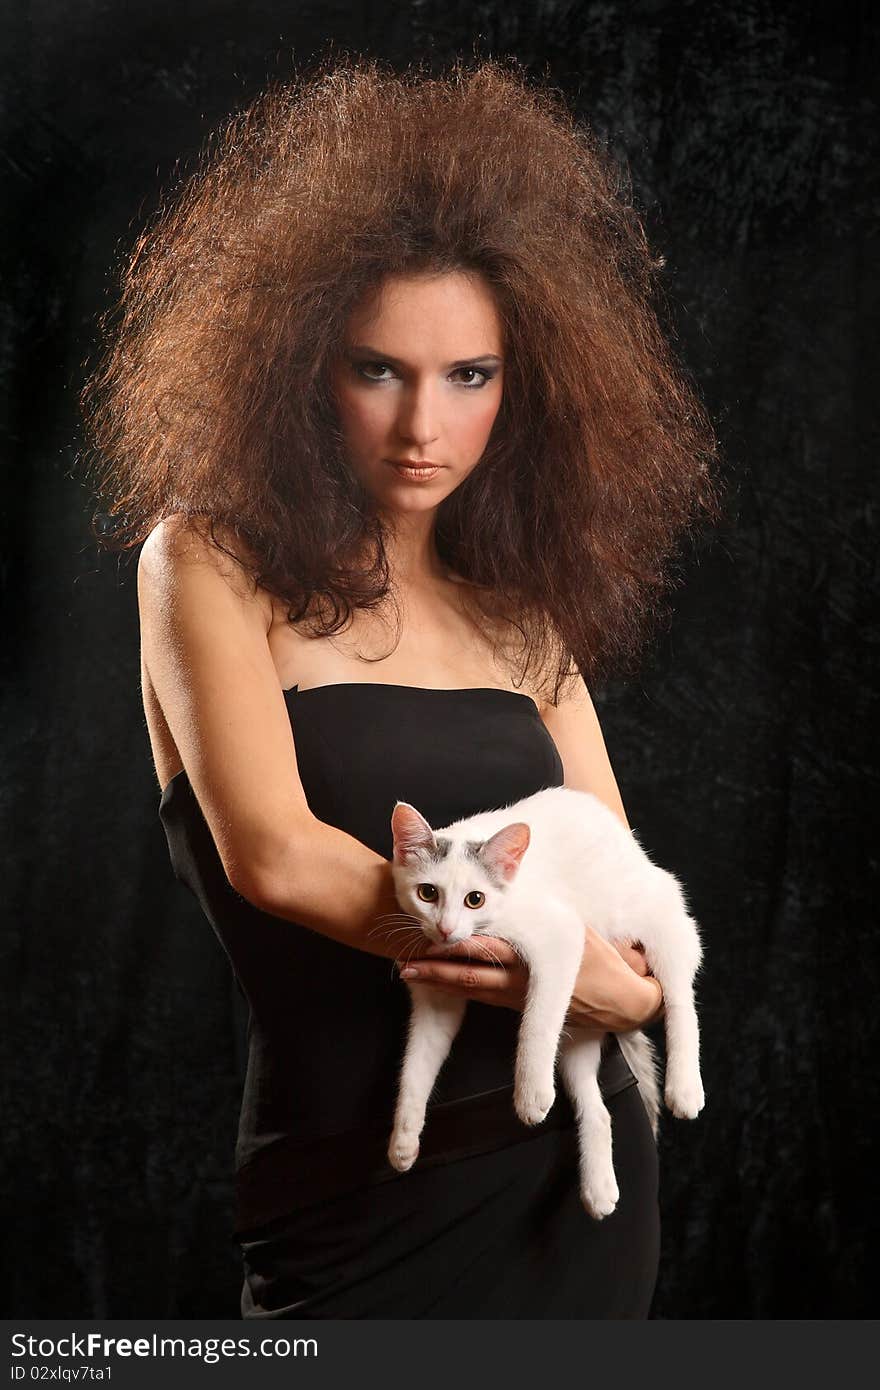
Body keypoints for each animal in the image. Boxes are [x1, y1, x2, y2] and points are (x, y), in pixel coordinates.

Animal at [386, 789, 703, 1223]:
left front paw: (530, 1092)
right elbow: (416, 1064)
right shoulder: (435, 992)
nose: (446, 929)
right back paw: (599, 1189)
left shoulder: (561, 936)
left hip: (660, 918)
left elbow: (538, 1021)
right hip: (581, 1028)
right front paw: (403, 1140)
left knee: (681, 1000)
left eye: (475, 899)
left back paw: (685, 1088)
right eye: (428, 893)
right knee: (597, 1106)